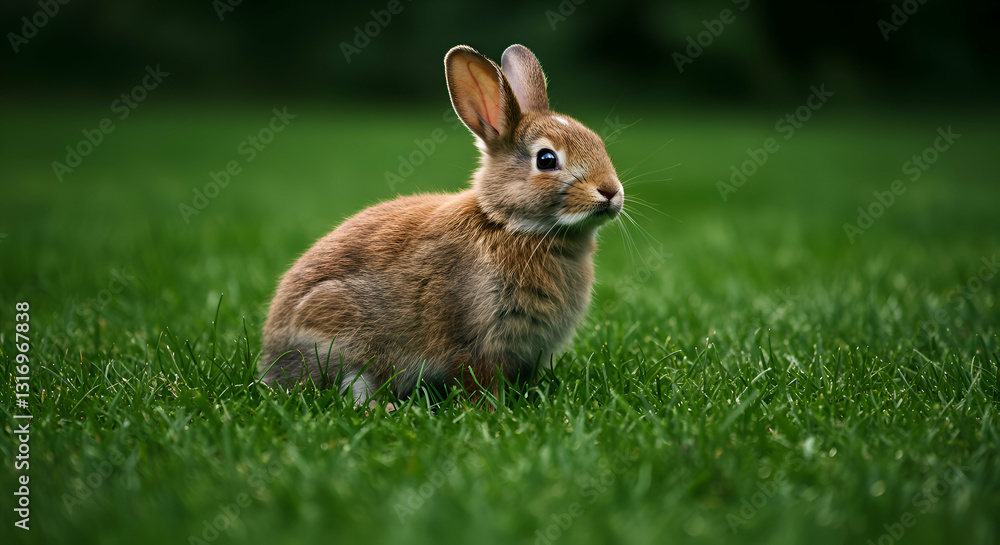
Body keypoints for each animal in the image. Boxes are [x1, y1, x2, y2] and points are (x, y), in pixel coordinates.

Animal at [260, 44, 624, 406]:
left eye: (597, 142)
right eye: (546, 160)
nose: (611, 191)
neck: (508, 225)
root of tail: (272, 363)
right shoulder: (474, 338)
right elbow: (477, 378)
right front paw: (491, 409)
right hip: (338, 330)